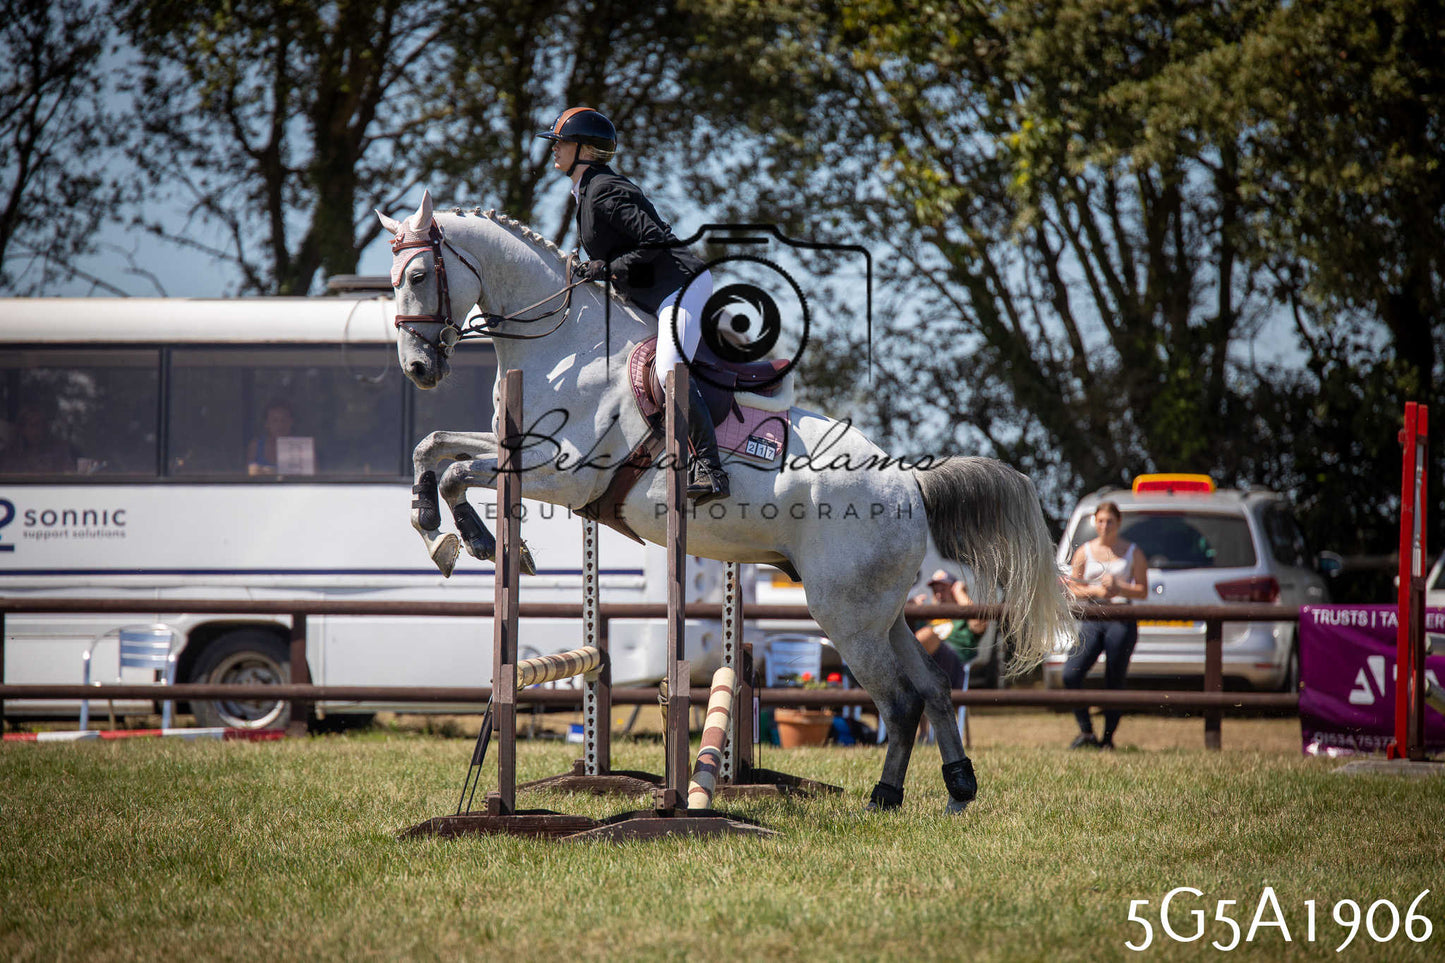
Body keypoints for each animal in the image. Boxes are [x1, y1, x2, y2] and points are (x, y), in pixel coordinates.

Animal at [377, 191, 1074, 813]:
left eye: (418, 275)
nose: (418, 369)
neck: (565, 346)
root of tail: (909, 484)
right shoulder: (516, 449)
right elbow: (433, 448)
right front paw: (433, 526)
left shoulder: (563, 473)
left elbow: (459, 472)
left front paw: (478, 540)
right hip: (882, 612)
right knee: (931, 689)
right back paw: (950, 790)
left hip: (844, 613)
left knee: (900, 701)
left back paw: (891, 797)